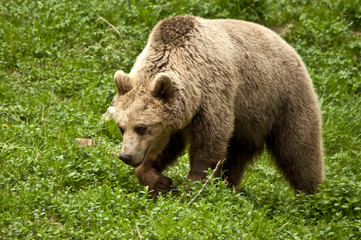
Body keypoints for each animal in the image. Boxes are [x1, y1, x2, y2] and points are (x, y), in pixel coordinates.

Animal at [113, 15, 324, 195]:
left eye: (141, 127)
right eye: (121, 127)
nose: (126, 156)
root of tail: (288, 45)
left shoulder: (212, 94)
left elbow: (210, 143)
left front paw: (191, 191)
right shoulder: (177, 120)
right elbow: (167, 147)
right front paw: (161, 182)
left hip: (284, 99)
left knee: (299, 151)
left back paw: (311, 196)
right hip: (247, 124)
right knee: (237, 157)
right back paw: (229, 188)